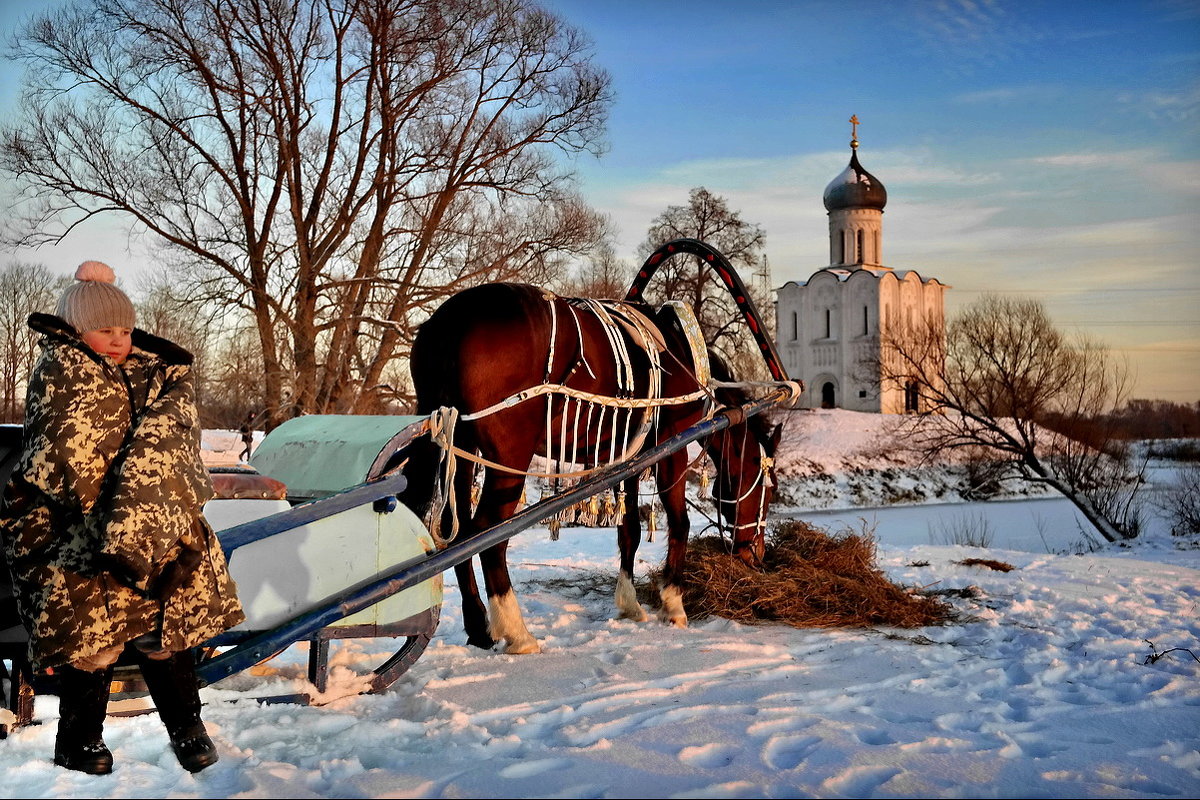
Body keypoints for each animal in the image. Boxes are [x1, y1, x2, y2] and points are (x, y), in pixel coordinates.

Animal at [398, 284, 782, 652]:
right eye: (769, 490)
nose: (756, 553)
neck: (680, 353)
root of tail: (451, 323)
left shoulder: (629, 454)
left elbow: (630, 529)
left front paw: (629, 603)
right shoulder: (668, 449)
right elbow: (679, 523)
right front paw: (673, 603)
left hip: (460, 445)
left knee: (458, 534)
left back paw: (479, 626)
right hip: (508, 457)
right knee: (489, 537)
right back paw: (518, 633)